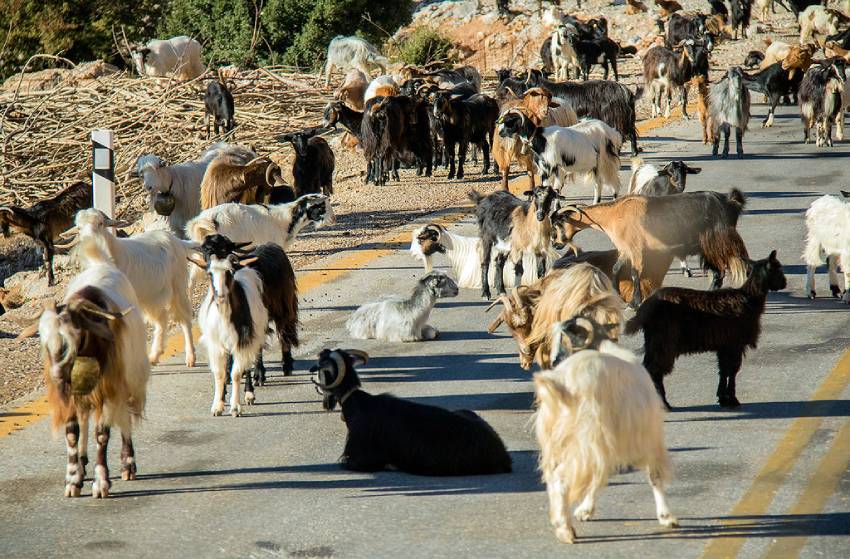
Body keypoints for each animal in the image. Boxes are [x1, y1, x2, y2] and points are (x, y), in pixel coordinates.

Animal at [18, 263, 150, 497]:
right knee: (85, 417)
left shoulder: (109, 389)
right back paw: (82, 461)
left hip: (129, 378)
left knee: (125, 417)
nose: (57, 375)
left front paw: (101, 482)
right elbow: (72, 432)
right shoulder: (71, 394)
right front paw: (72, 479)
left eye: (74, 334)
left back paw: (128, 464)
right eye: (43, 338)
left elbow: (102, 434)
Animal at [534, 316, 677, 544]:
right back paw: (566, 530)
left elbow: (599, 476)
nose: (553, 361)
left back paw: (561, 521)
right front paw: (666, 517)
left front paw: (585, 511)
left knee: (554, 477)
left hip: (557, 440)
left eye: (567, 337)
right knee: (562, 477)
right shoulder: (645, 436)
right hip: (585, 439)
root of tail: (563, 384)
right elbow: (654, 474)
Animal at [552, 189, 749, 307]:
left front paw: (634, 302)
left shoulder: (636, 248)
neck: (613, 215)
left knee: (731, 268)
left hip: (718, 243)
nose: (555, 244)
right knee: (719, 272)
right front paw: (618, 295)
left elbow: (634, 273)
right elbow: (616, 269)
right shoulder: (626, 249)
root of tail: (730, 202)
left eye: (557, 224)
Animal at [626, 251, 787, 409]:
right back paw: (664, 404)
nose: (784, 283)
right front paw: (732, 399)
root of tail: (645, 307)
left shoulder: (724, 345)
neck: (749, 298)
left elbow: (723, 370)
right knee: (655, 370)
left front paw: (722, 398)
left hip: (653, 341)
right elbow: (732, 370)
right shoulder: (735, 343)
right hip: (664, 341)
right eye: (778, 269)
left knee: (649, 368)